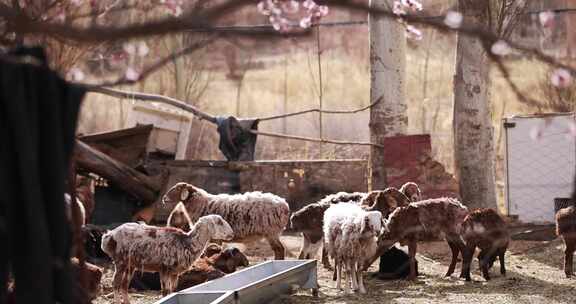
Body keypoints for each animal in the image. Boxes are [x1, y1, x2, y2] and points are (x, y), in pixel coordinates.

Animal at [102, 214, 234, 304]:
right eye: (219, 222)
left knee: (124, 285)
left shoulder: (174, 272)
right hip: (120, 261)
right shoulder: (164, 268)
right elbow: (165, 291)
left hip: (130, 264)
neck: (187, 243)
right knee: (116, 284)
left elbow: (173, 291)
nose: (232, 234)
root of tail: (109, 235)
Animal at [162, 183, 290, 258]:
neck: (201, 203)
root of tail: (284, 204)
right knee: (279, 249)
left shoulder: (215, 237)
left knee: (279, 249)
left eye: (177, 189)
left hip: (271, 232)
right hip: (272, 232)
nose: (164, 198)